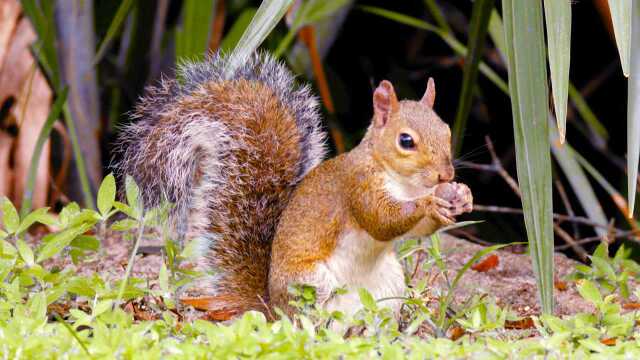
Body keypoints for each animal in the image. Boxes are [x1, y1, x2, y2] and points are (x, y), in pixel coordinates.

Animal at [117, 52, 472, 320]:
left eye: (446, 130)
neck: (404, 183)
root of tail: (271, 308)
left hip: (390, 286)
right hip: (312, 285)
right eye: (406, 141)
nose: (445, 175)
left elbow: (417, 228)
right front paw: (430, 203)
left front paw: (461, 198)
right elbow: (382, 221)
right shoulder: (356, 187)